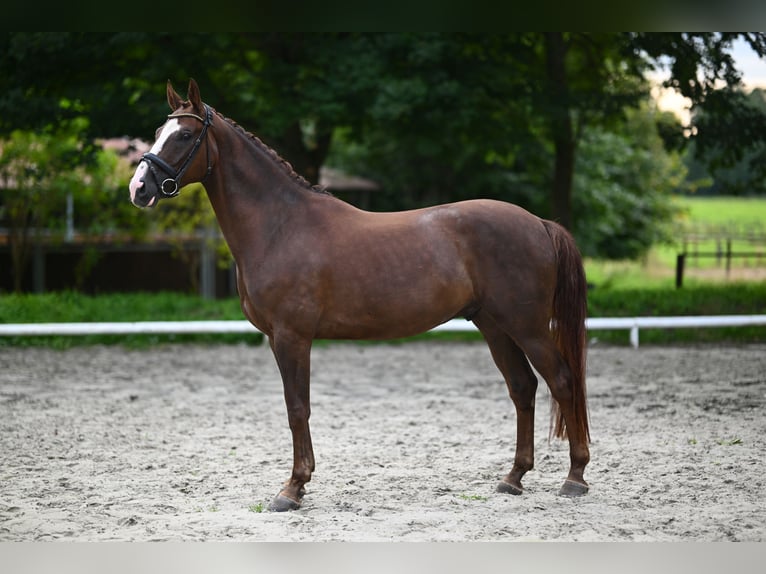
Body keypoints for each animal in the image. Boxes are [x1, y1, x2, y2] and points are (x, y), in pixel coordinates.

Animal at [129, 80, 592, 512]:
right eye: (156, 131)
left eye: (184, 135)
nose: (138, 188)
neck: (281, 226)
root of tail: (538, 223)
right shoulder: (279, 338)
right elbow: (297, 407)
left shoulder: (291, 337)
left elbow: (297, 408)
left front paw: (292, 489)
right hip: (494, 325)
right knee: (523, 387)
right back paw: (513, 478)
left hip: (527, 326)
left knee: (562, 380)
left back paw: (574, 478)